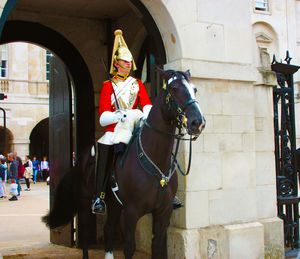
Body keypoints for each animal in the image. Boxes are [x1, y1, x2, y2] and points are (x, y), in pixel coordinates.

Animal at [42, 68, 206, 258]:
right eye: (173, 88)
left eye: (195, 89)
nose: (198, 122)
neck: (155, 160)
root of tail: (81, 158)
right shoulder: (131, 211)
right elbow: (129, 247)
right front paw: (122, 114)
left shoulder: (163, 212)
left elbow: (156, 245)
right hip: (85, 202)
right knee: (85, 235)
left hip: (114, 204)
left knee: (108, 229)